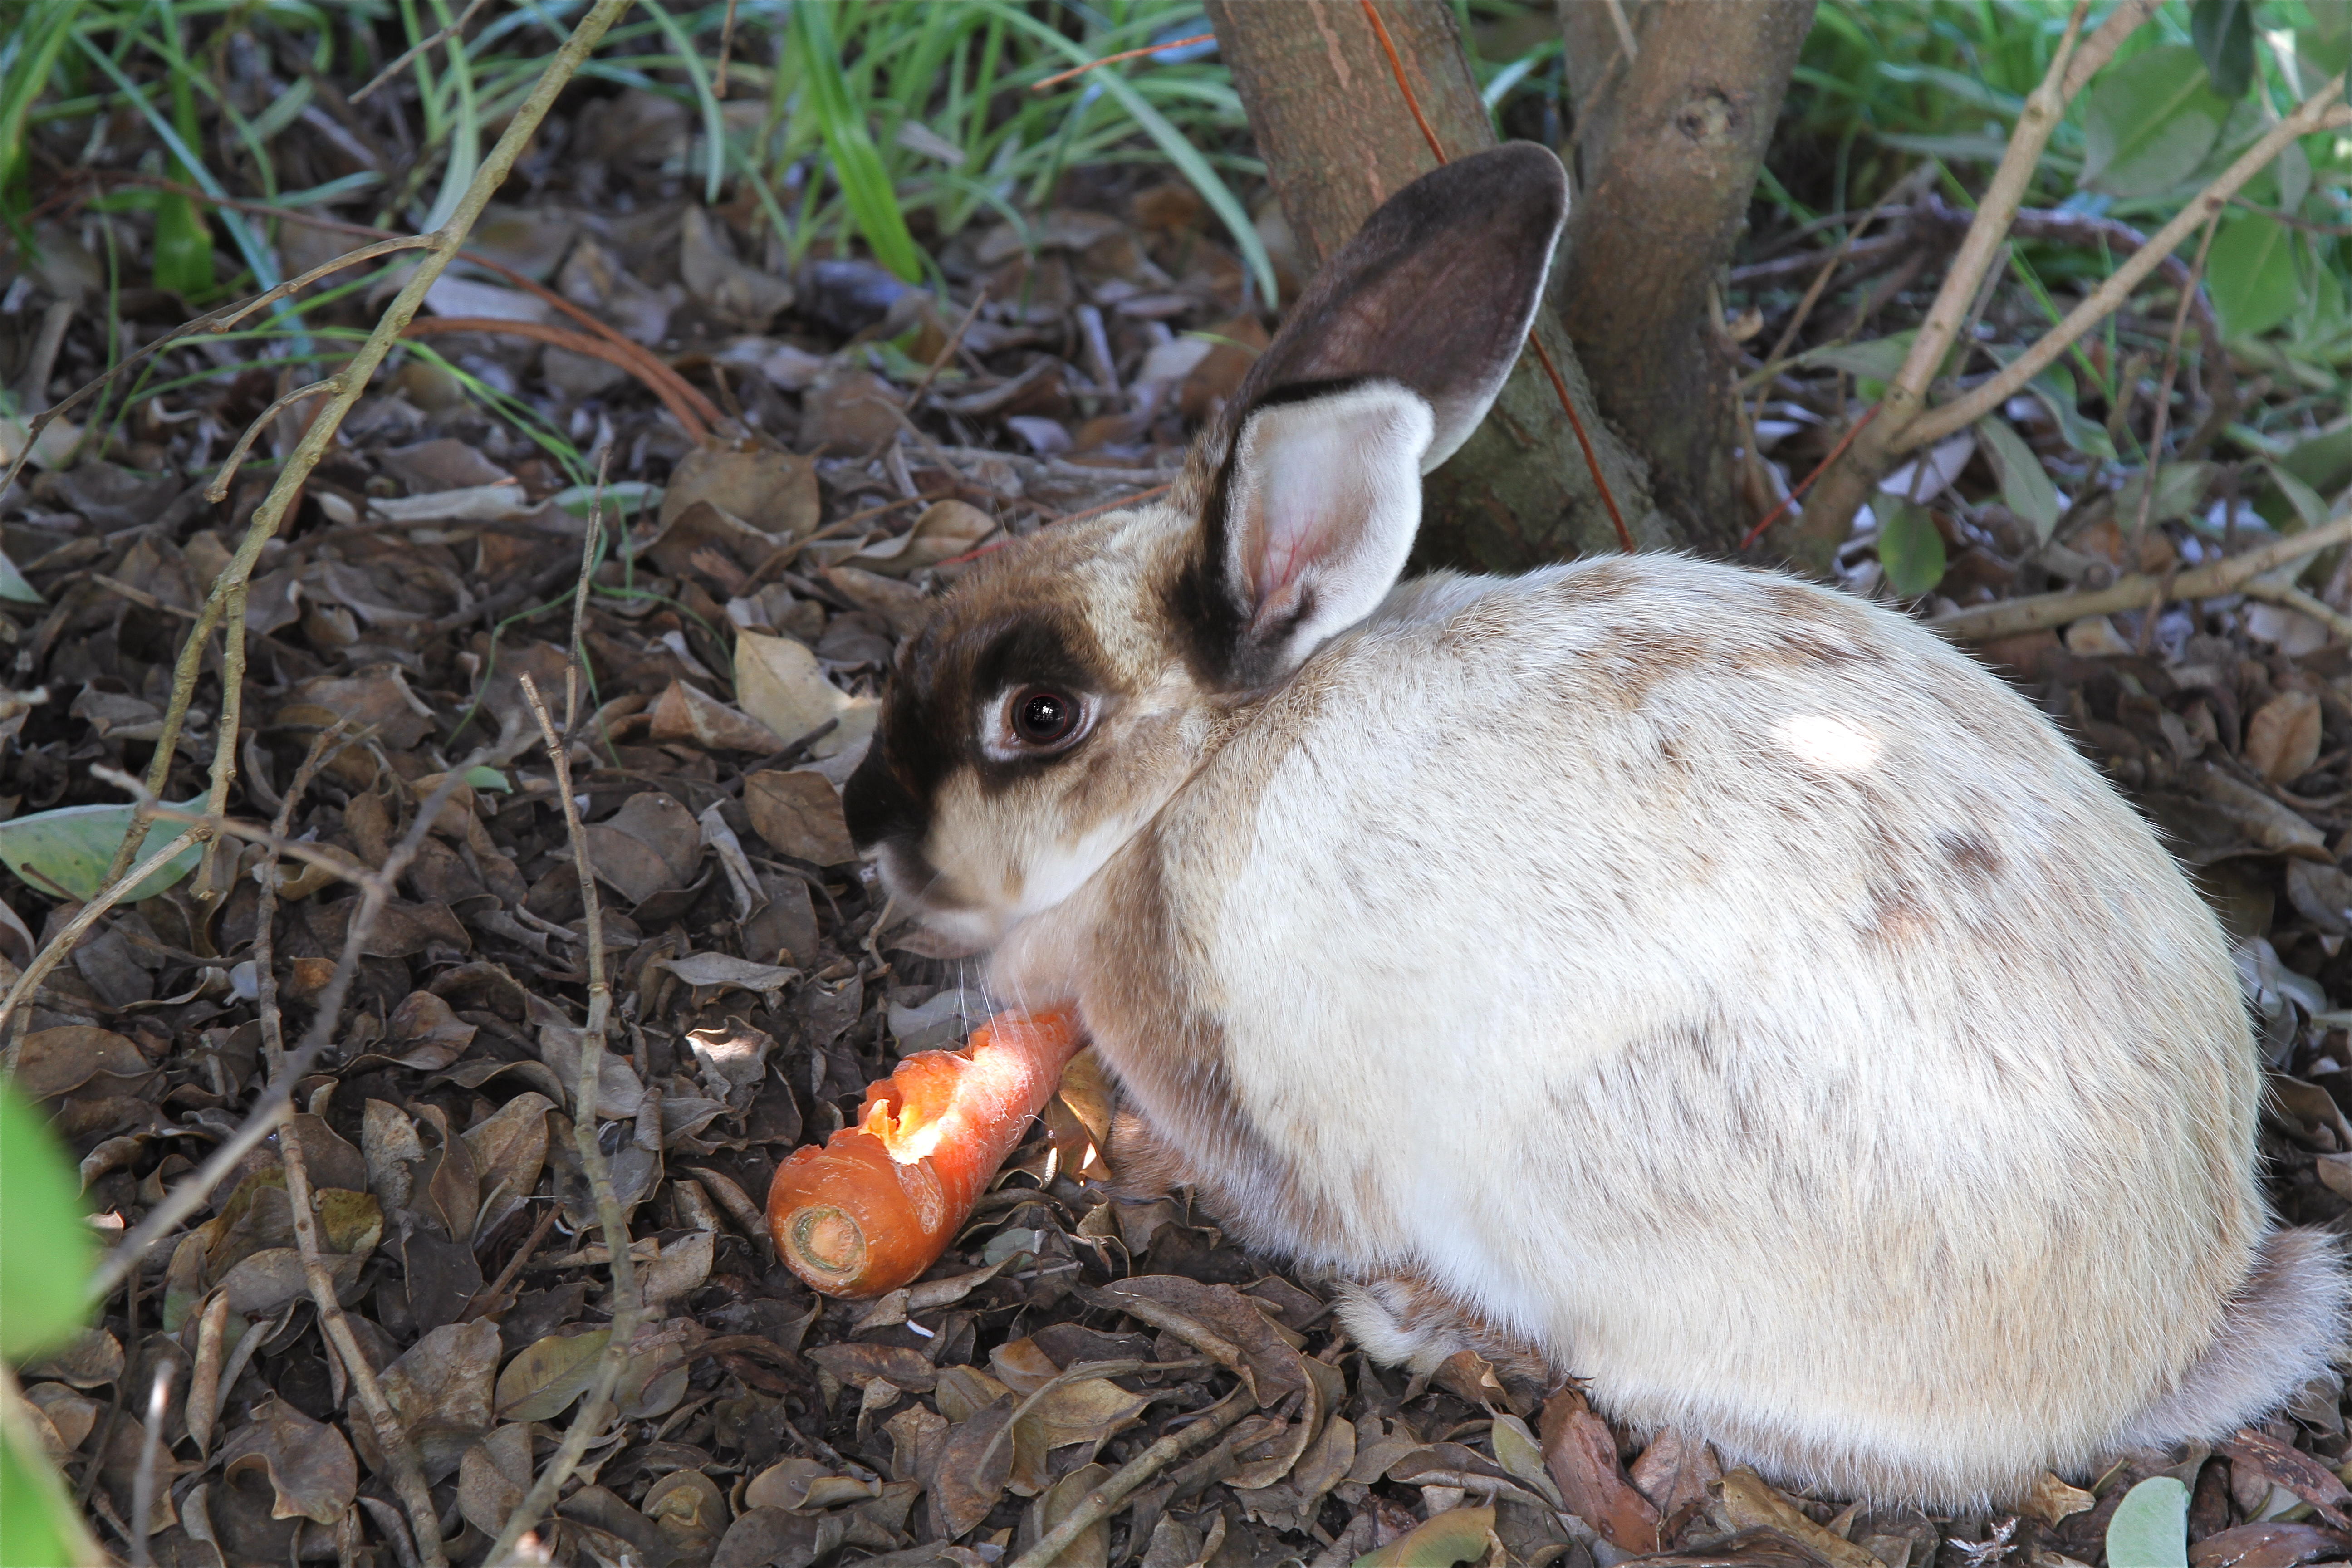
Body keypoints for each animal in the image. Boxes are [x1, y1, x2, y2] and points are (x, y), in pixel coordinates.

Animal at [837, 144, 2342, 1504]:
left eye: (1038, 717)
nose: (862, 813)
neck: (1194, 776)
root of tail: (2171, 1326)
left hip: (1586, 1194)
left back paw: (1419, 1323)